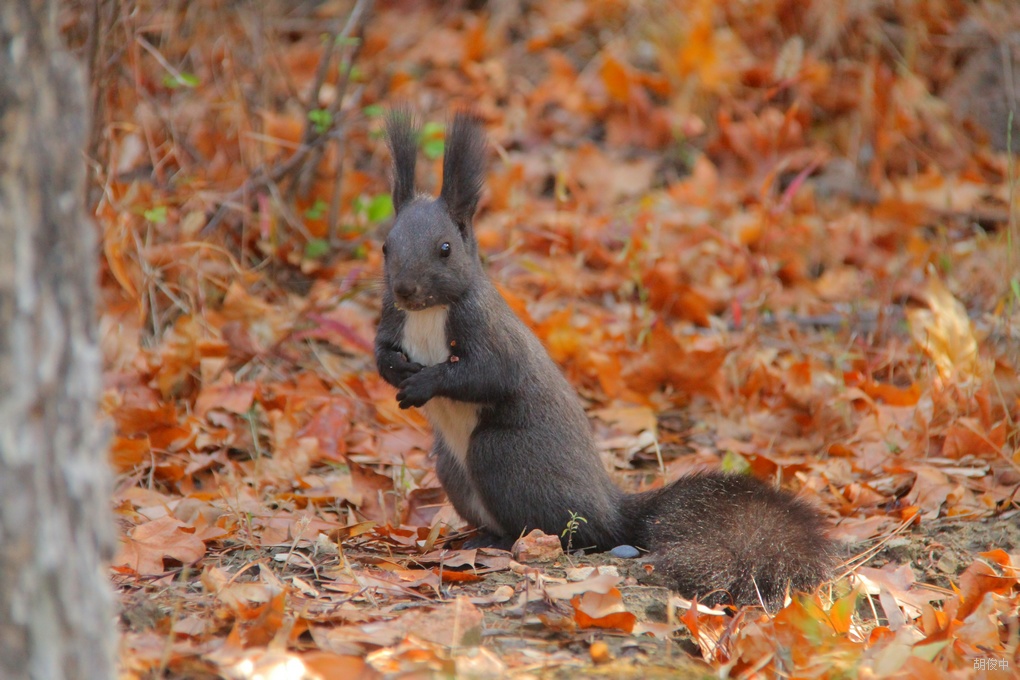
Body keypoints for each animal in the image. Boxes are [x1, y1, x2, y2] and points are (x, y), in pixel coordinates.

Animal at [375, 111, 836, 611]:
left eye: (445, 249)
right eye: (385, 246)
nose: (405, 290)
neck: (429, 313)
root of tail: (608, 510)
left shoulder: (486, 329)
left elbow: (490, 374)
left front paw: (425, 382)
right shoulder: (391, 318)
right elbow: (381, 355)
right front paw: (396, 371)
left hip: (502, 455)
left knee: (560, 530)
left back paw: (500, 542)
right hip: (450, 465)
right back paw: (472, 537)